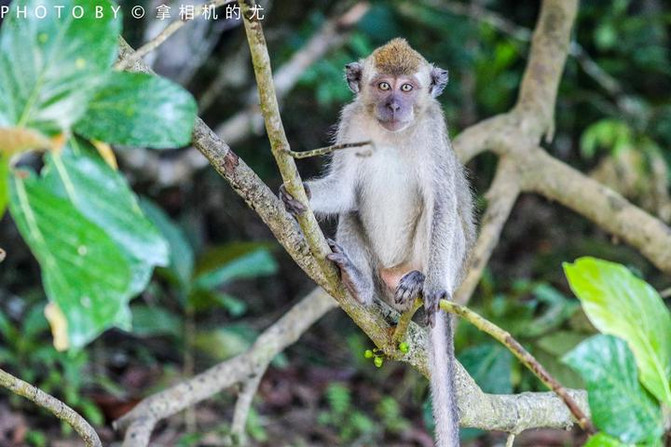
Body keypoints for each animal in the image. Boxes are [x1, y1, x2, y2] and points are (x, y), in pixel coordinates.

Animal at [280, 39, 476, 447]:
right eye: (384, 86)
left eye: (407, 88)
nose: (394, 106)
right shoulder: (351, 119)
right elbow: (343, 189)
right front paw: (301, 195)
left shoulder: (433, 130)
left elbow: (442, 204)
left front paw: (433, 285)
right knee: (353, 211)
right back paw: (360, 286)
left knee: (439, 215)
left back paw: (421, 282)